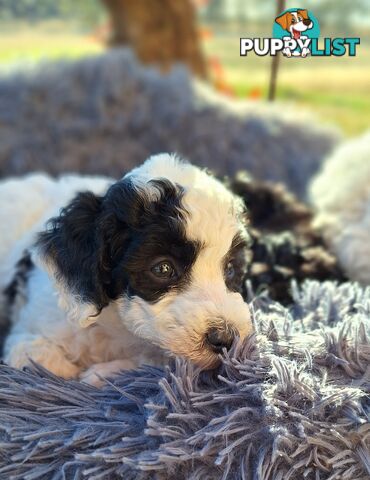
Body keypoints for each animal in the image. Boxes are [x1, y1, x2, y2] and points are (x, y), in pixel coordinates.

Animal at [2, 155, 251, 386]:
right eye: (163, 268)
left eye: (230, 269)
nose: (225, 339)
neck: (116, 327)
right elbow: (30, 352)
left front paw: (105, 374)